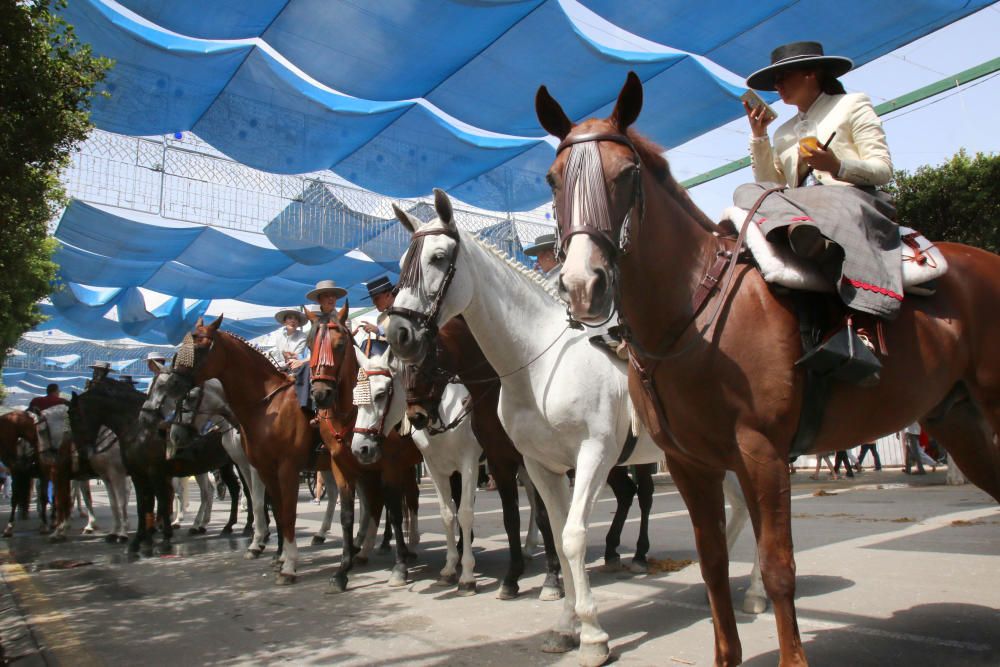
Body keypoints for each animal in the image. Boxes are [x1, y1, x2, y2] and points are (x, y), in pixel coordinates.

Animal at [35, 408, 130, 544]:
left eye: (40, 431)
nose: (43, 458)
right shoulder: (105, 477)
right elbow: (112, 503)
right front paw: (113, 532)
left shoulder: (117, 475)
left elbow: (120, 502)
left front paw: (122, 534)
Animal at [308, 306, 426, 592]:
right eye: (309, 343)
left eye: (339, 345)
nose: (320, 394)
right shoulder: (343, 466)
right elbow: (349, 515)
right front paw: (342, 570)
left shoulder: (389, 464)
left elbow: (394, 511)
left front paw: (399, 567)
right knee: (398, 498)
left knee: (407, 500)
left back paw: (408, 546)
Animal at [354, 350, 482, 596]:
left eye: (381, 394)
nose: (360, 449)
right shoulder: (435, 467)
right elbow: (446, 514)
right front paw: (449, 569)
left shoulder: (469, 463)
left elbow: (465, 513)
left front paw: (468, 576)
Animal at [386, 190, 760, 664]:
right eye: (403, 261)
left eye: (437, 257)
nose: (398, 332)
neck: (539, 366)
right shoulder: (539, 466)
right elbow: (558, 540)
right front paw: (566, 627)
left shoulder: (593, 456)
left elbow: (572, 537)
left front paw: (594, 638)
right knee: (740, 507)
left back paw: (756, 595)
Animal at [540, 70, 1000, 664]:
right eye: (553, 180)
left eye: (625, 174)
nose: (583, 286)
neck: (695, 312)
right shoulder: (691, 464)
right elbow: (714, 565)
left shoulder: (762, 453)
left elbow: (778, 567)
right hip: (959, 421)